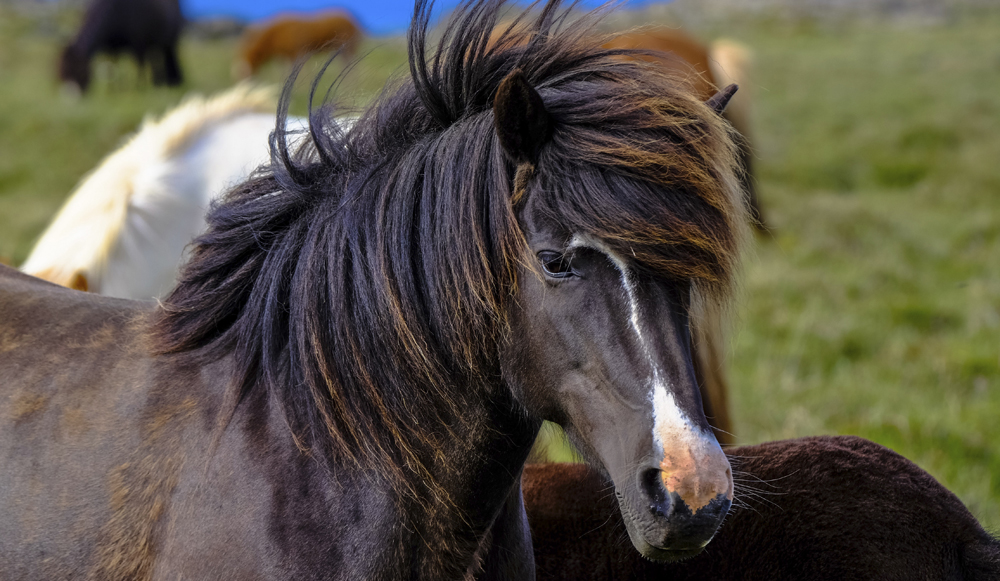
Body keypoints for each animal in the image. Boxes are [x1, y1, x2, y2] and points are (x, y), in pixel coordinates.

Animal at [234, 10, 364, 77]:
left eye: (245, 74)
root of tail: (352, 19)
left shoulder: (298, 51)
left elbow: (299, 70)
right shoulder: (285, 55)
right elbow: (285, 71)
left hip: (348, 48)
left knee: (354, 65)